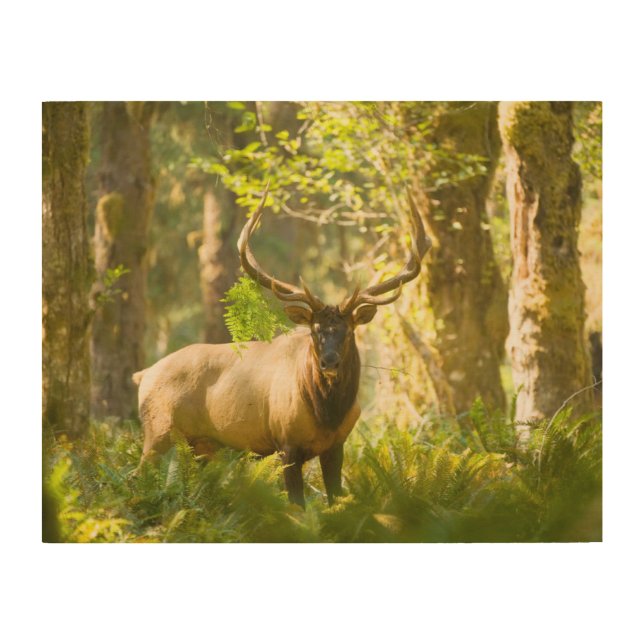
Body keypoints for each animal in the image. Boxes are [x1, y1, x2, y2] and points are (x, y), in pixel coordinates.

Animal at [132, 186, 430, 507]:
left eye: (349, 331)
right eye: (313, 330)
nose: (330, 362)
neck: (327, 414)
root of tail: (144, 374)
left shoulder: (337, 445)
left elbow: (335, 498)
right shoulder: (286, 443)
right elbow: (297, 505)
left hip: (201, 445)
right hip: (157, 431)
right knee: (136, 475)